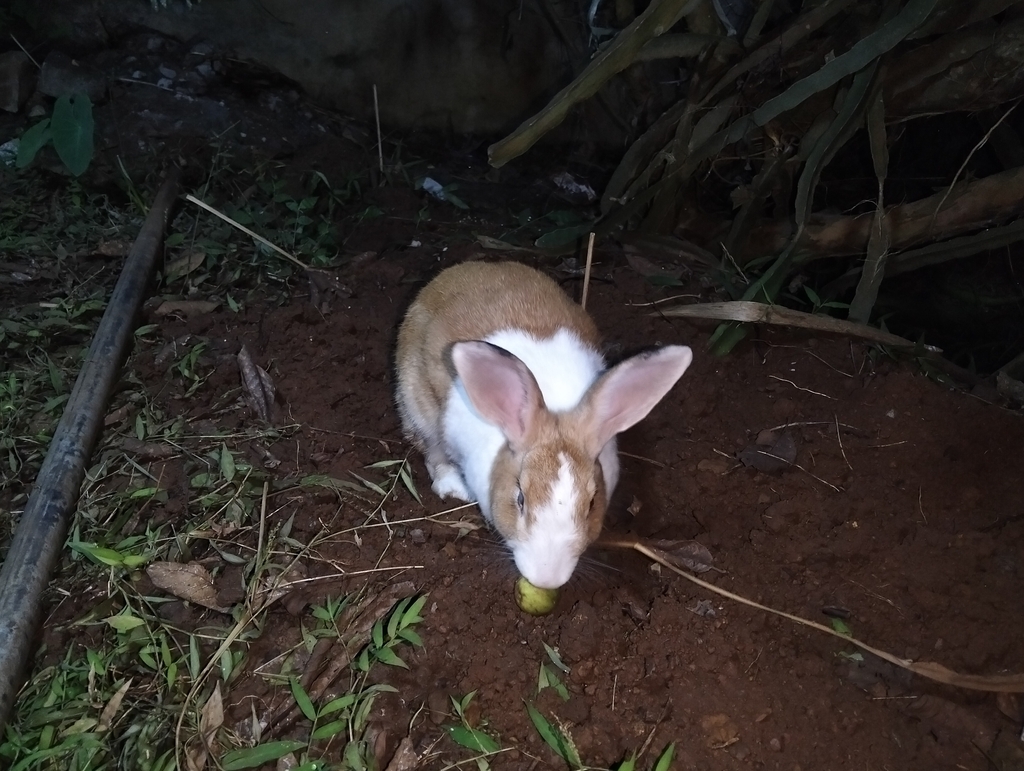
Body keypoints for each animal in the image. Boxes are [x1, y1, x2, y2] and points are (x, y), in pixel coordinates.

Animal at [395, 260, 692, 589]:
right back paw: (453, 487)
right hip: (419, 406)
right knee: (433, 449)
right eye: (520, 499)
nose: (547, 578)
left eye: (592, 504)